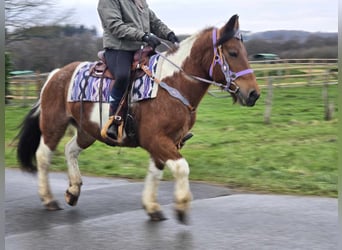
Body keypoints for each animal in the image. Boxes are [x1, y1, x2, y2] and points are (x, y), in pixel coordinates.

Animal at [15, 14, 260, 224]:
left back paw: (73, 191)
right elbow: (181, 168)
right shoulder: (156, 139)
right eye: (233, 53)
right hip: (53, 125)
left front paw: (152, 207)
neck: (172, 84)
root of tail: (55, 74)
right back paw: (48, 198)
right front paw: (181, 207)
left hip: (87, 131)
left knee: (70, 150)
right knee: (43, 155)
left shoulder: (168, 141)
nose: (253, 94)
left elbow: (155, 172)